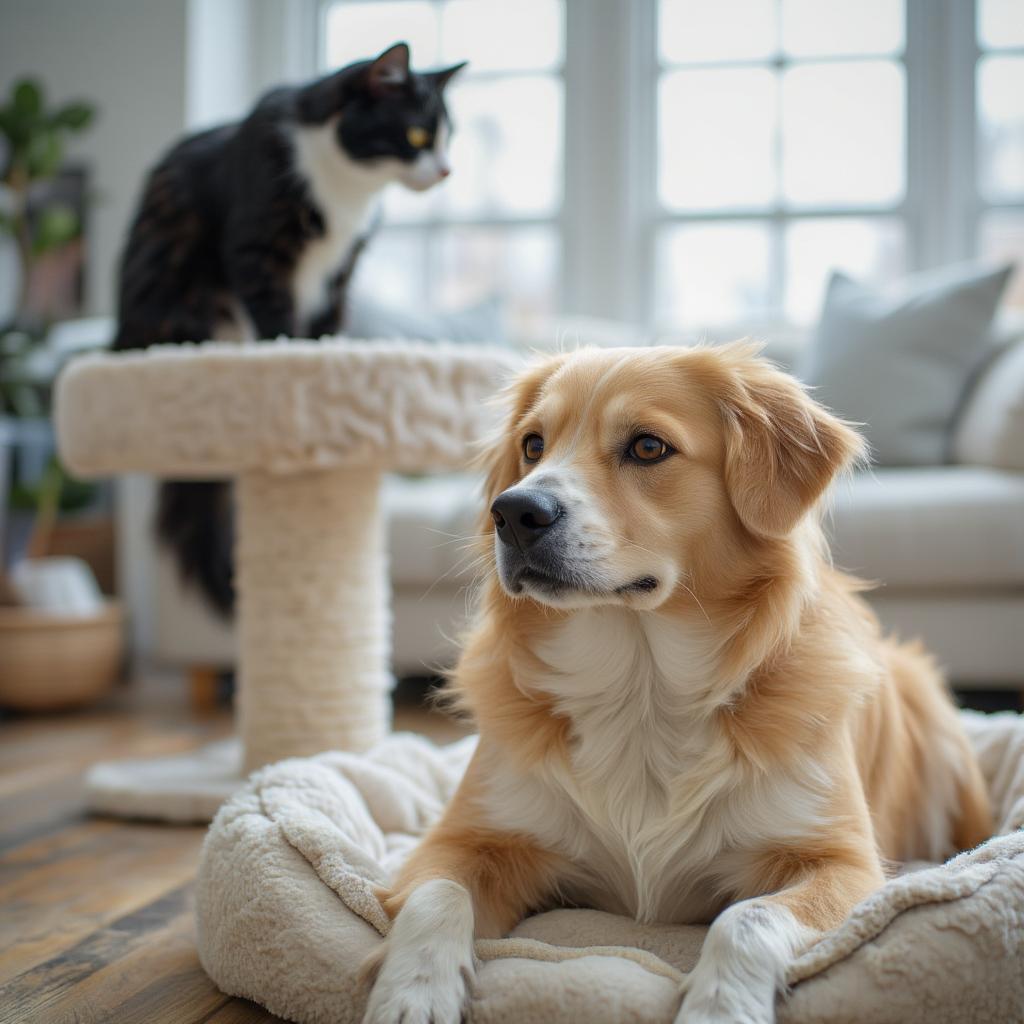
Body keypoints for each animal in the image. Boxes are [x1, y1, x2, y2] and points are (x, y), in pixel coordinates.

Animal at [113, 41, 464, 614]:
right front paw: (288, 355)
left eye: (448, 137)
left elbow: (328, 317)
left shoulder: (340, 268)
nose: (446, 171)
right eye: (417, 136)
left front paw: (325, 353)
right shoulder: (256, 244)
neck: (348, 188)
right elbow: (275, 311)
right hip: (179, 287)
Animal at [362, 344, 991, 1024]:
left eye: (647, 447)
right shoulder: (463, 838)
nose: (512, 512)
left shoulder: (843, 864)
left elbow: (746, 919)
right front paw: (413, 991)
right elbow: (436, 896)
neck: (642, 688)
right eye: (533, 444)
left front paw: (720, 1005)